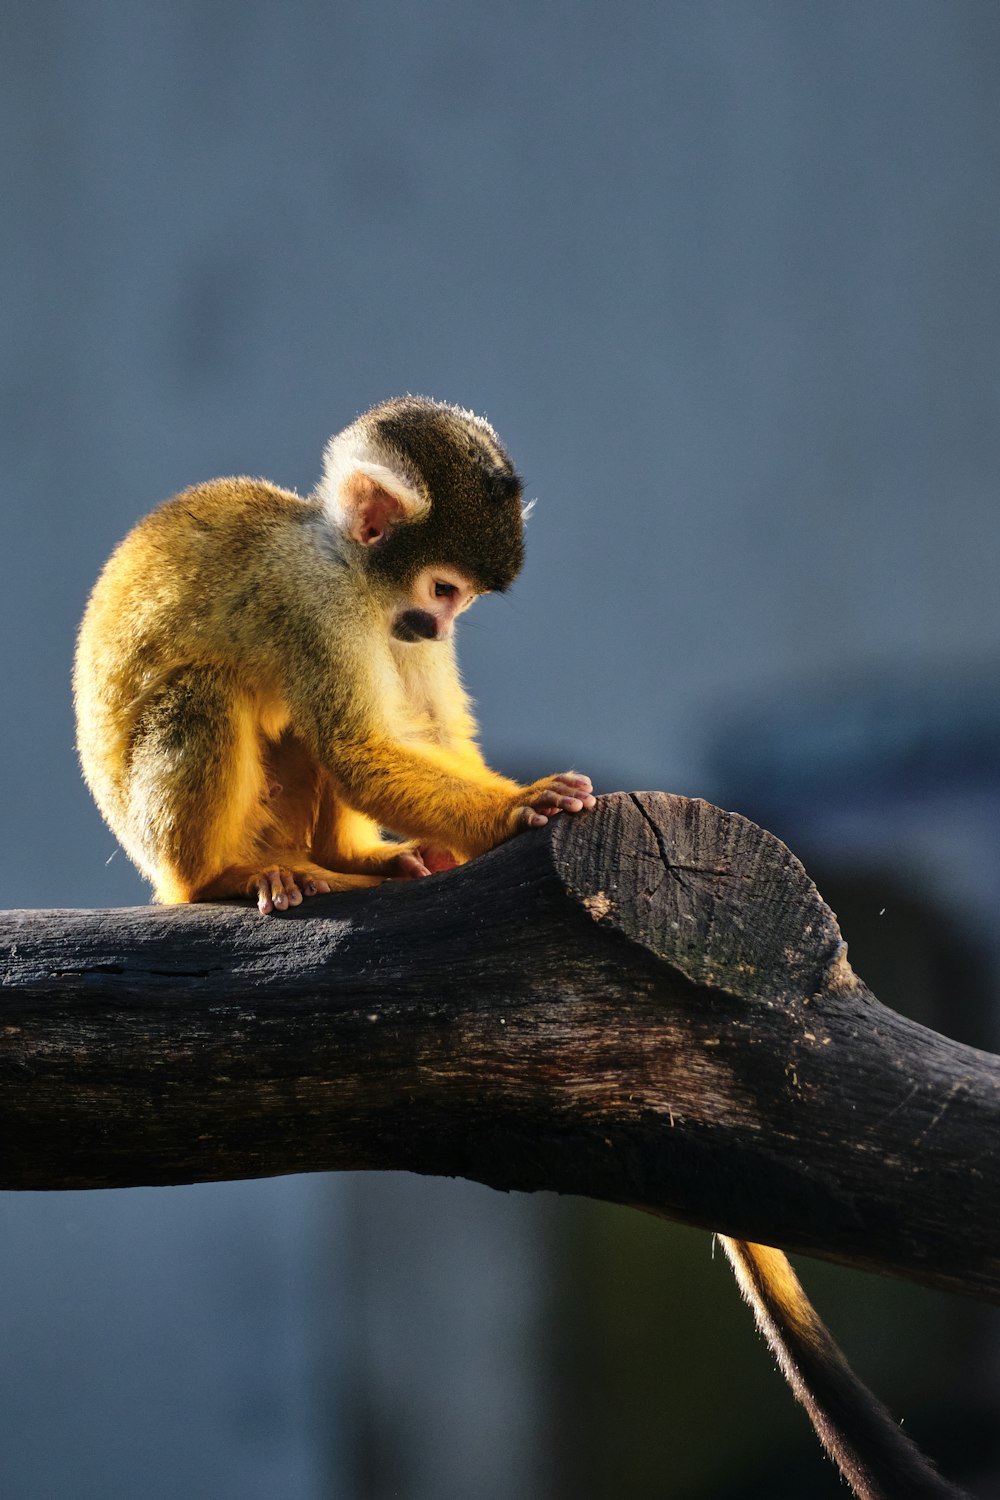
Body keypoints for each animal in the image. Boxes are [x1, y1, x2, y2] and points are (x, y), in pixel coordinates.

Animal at [78, 396, 599, 912]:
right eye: (444, 590)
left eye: (465, 599)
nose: (441, 628)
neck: (347, 565)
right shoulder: (318, 600)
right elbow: (354, 748)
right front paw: (517, 806)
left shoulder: (399, 624)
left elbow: (428, 730)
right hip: (161, 840)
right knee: (205, 688)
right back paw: (215, 879)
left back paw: (346, 857)